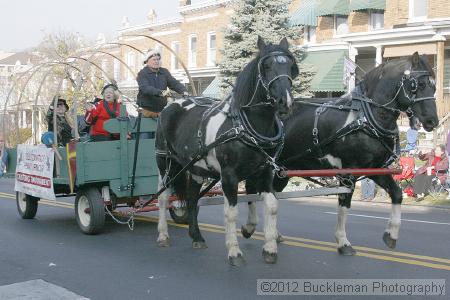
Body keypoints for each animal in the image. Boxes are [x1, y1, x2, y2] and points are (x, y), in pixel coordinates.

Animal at [155, 37, 298, 264]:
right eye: (266, 66)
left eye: (291, 66)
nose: (286, 102)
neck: (247, 126)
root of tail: (171, 104)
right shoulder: (229, 176)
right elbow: (231, 212)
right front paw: (234, 251)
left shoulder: (265, 173)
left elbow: (272, 206)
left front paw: (269, 248)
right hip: (166, 163)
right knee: (162, 197)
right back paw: (162, 235)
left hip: (196, 168)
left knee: (192, 199)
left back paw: (196, 236)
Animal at [243, 51, 436, 255]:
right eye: (419, 85)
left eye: (434, 85)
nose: (433, 120)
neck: (367, 117)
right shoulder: (347, 172)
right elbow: (344, 204)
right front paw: (343, 241)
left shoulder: (375, 169)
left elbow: (397, 194)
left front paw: (391, 235)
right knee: (251, 188)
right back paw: (250, 227)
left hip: (283, 171)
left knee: (271, 194)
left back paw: (273, 233)